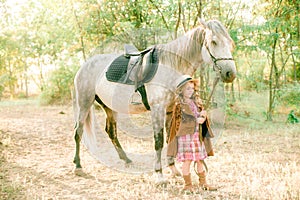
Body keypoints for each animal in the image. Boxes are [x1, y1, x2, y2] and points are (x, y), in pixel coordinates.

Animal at [73, 19, 237, 184]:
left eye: (230, 43)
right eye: (214, 42)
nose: (230, 74)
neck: (171, 66)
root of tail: (84, 65)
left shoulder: (170, 109)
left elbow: (171, 138)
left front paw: (173, 169)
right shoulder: (158, 109)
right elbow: (159, 140)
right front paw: (159, 175)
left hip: (109, 107)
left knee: (111, 132)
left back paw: (126, 159)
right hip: (84, 103)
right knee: (78, 131)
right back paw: (78, 166)